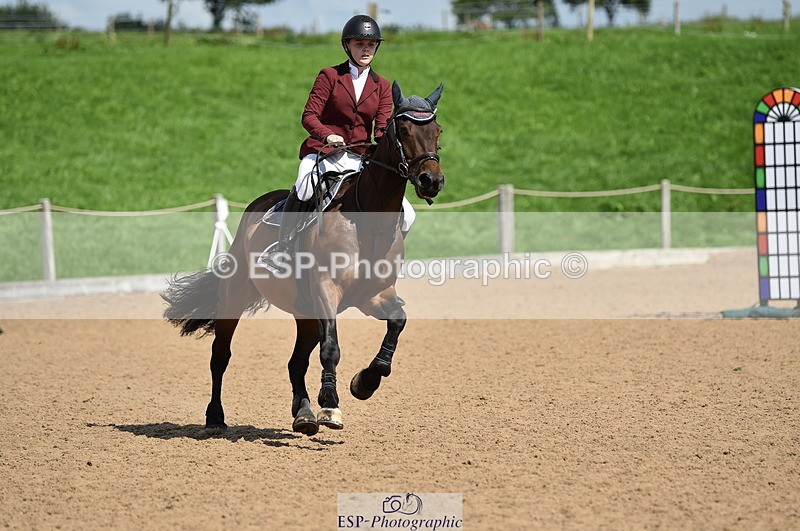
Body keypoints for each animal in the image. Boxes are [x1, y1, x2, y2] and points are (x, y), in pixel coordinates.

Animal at [162, 81, 445, 436]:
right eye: (404, 129)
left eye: (438, 130)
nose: (431, 181)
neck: (369, 222)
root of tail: (259, 203)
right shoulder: (327, 291)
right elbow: (332, 349)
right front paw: (331, 405)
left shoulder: (374, 295)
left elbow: (397, 323)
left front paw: (364, 383)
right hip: (238, 296)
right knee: (220, 355)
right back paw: (216, 417)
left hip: (306, 313)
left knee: (296, 362)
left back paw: (304, 414)